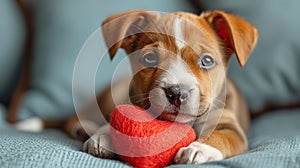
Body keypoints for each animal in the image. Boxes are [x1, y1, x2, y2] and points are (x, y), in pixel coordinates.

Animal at [65, 9, 258, 165]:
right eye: (150, 58)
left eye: (207, 61)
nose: (177, 92)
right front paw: (103, 135)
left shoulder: (231, 127)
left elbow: (220, 136)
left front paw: (199, 149)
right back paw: (84, 128)